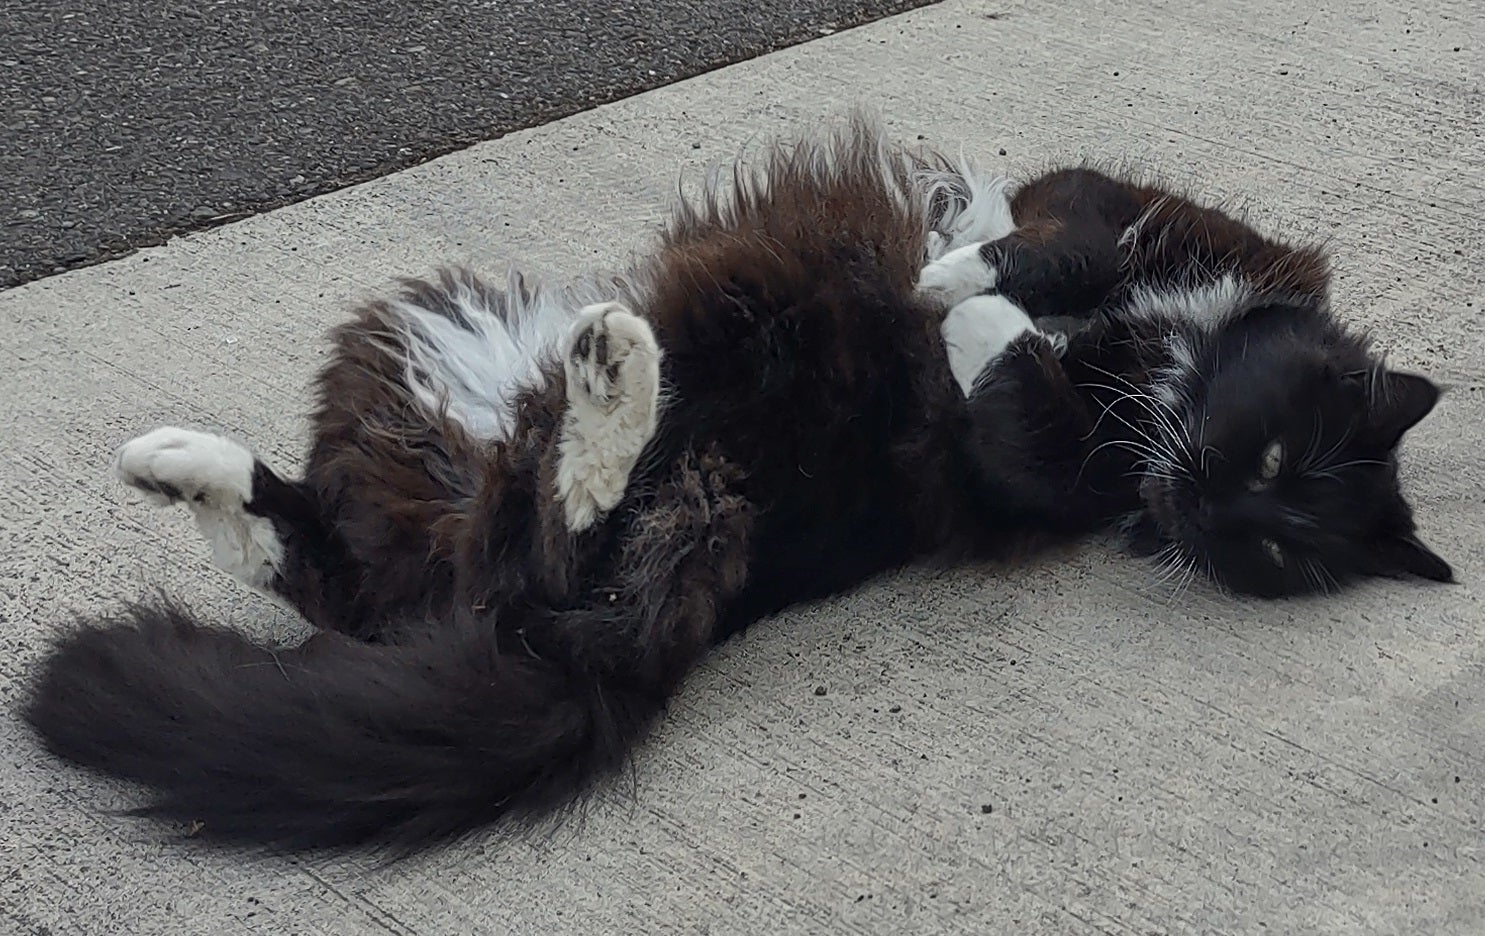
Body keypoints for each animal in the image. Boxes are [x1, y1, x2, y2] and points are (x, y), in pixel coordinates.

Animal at [23, 121, 1449, 857]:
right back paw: (176, 463)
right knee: (339, 562)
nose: (1207, 510)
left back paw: (610, 387)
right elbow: (1052, 235)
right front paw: (956, 271)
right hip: (417, 332)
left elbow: (1010, 387)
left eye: (1273, 551)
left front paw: (960, 310)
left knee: (520, 546)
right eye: (1275, 463)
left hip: (671, 516)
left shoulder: (1044, 474)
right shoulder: (1124, 207)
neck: (1154, 373)